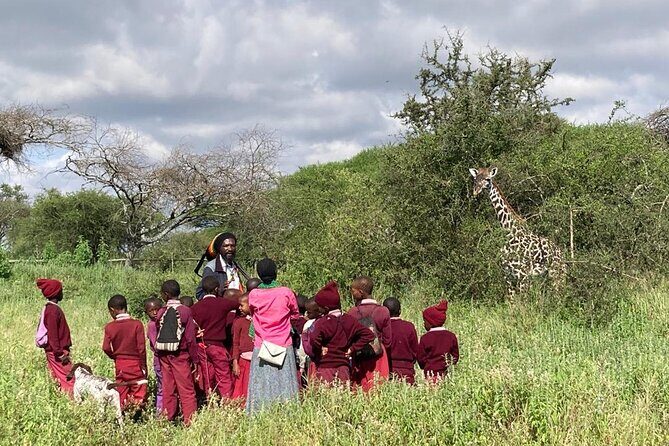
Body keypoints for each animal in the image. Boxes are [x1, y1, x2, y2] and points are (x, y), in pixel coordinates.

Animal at [469, 166, 566, 297]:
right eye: (475, 178)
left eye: (488, 179)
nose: (475, 192)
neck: (509, 235)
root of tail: (561, 253)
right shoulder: (508, 274)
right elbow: (512, 300)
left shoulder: (523, 274)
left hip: (557, 273)